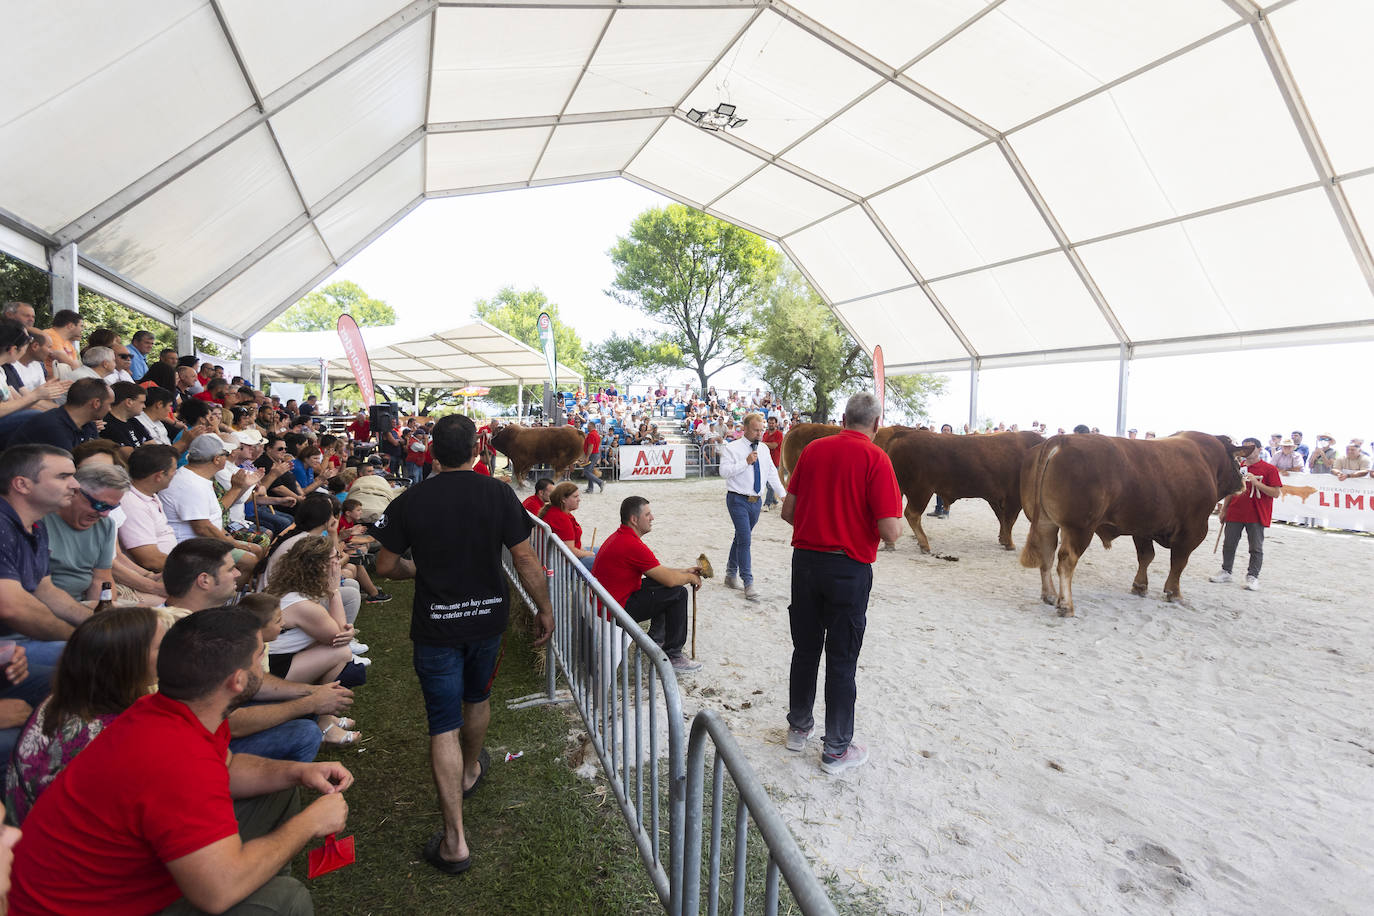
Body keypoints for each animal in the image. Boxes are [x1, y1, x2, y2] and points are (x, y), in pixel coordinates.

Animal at [879, 428, 1038, 552]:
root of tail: (904, 434)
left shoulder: (996, 498)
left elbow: (1002, 519)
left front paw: (1003, 539)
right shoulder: (1014, 497)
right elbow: (1009, 520)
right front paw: (1010, 544)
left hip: (900, 488)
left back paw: (890, 544)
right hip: (921, 490)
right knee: (912, 515)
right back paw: (924, 544)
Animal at [1022, 433, 1247, 620]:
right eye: (1237, 460)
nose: (1243, 481)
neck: (1207, 459)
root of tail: (1061, 440)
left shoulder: (1143, 527)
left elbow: (1146, 556)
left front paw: (1140, 586)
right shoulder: (1193, 530)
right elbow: (1178, 563)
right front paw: (1174, 594)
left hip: (1046, 523)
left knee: (1046, 557)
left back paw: (1050, 595)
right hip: (1079, 528)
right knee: (1066, 561)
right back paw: (1066, 605)